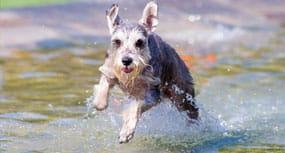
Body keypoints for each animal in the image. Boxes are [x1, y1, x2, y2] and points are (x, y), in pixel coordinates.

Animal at [92, 1, 197, 143]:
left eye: (139, 42)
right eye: (117, 41)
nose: (126, 60)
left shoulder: (152, 93)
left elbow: (135, 108)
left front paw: (126, 132)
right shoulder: (109, 71)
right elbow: (101, 96)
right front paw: (99, 101)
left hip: (183, 97)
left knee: (192, 113)